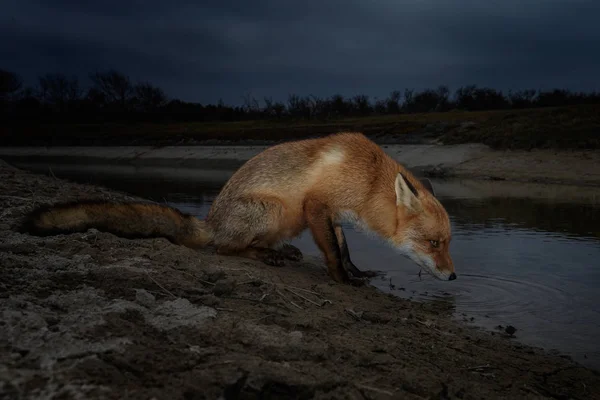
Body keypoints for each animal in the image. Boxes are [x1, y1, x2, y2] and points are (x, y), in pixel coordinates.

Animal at [21, 134, 458, 284]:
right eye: (434, 243)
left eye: (447, 243)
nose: (453, 277)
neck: (366, 180)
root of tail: (210, 221)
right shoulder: (316, 205)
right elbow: (333, 254)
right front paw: (343, 281)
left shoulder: (333, 215)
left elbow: (345, 249)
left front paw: (358, 272)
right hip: (274, 209)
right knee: (225, 249)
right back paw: (264, 255)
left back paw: (280, 251)